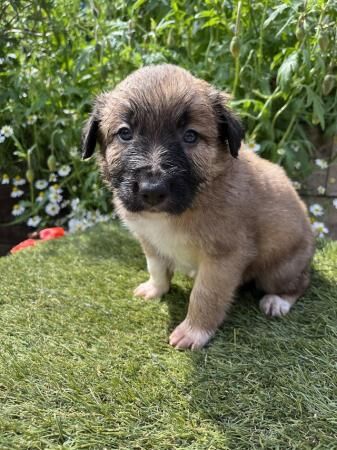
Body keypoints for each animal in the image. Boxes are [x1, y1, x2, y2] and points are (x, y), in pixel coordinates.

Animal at [82, 65, 314, 350]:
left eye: (190, 136)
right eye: (125, 133)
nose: (152, 189)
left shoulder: (223, 258)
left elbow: (205, 296)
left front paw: (194, 331)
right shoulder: (149, 240)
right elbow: (156, 268)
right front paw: (155, 289)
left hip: (278, 269)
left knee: (301, 282)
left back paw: (278, 301)